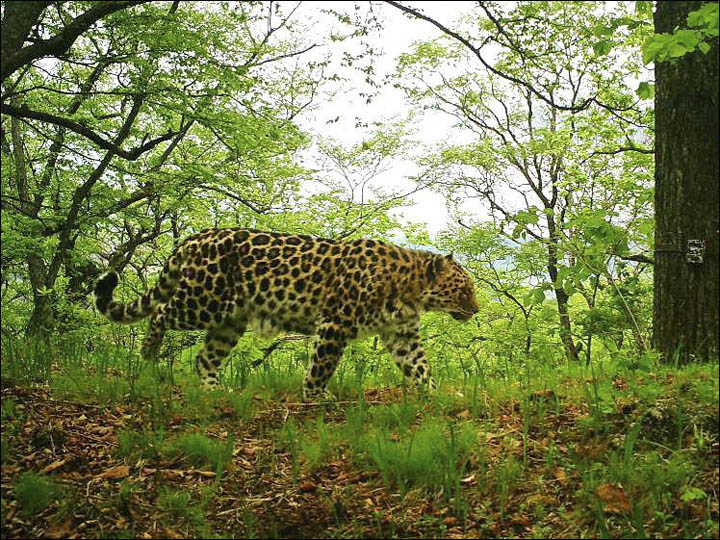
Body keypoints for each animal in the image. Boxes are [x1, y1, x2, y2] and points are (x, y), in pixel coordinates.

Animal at [94, 228, 478, 400]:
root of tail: (196, 236)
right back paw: (149, 353)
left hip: (229, 321)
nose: (475, 310)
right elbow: (322, 364)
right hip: (204, 301)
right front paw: (315, 396)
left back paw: (216, 390)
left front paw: (436, 394)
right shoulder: (335, 322)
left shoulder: (402, 333)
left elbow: (419, 366)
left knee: (205, 357)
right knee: (159, 312)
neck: (410, 288)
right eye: (463, 289)